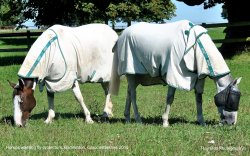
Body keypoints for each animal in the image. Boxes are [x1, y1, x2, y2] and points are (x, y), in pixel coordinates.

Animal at [108, 19, 242, 127]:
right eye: (231, 100)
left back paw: (127, 118)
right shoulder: (174, 75)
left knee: (129, 93)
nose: (232, 123)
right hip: (131, 72)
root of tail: (121, 35)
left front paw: (202, 121)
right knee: (133, 95)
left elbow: (199, 99)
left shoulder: (199, 79)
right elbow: (170, 98)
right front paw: (165, 122)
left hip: (137, 76)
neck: (196, 45)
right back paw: (138, 119)